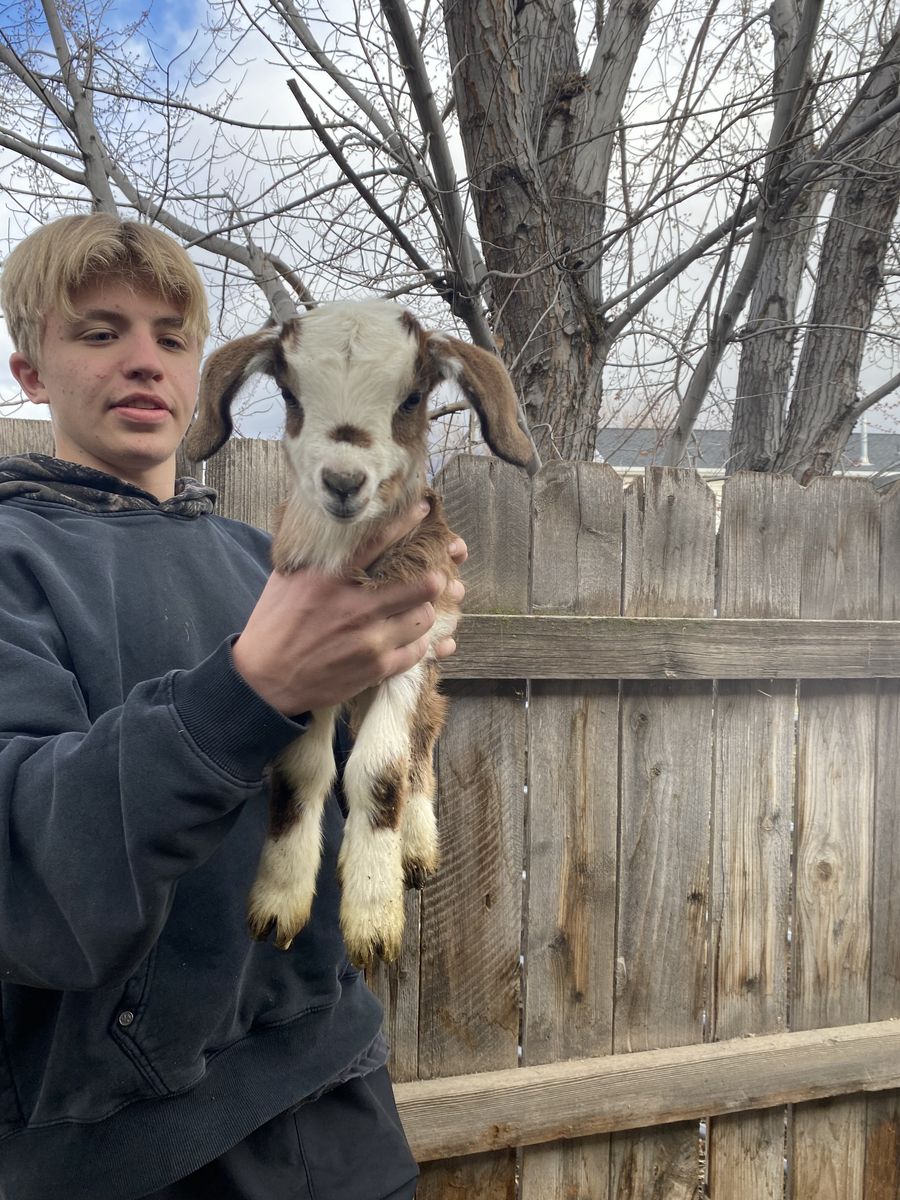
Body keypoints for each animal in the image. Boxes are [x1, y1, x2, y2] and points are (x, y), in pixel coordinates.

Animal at [186, 301, 538, 966]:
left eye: (411, 398)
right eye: (290, 393)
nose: (344, 481)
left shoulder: (409, 652)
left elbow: (378, 770)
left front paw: (375, 914)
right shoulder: (309, 672)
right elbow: (304, 769)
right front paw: (279, 900)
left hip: (429, 673)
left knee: (423, 739)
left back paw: (415, 848)